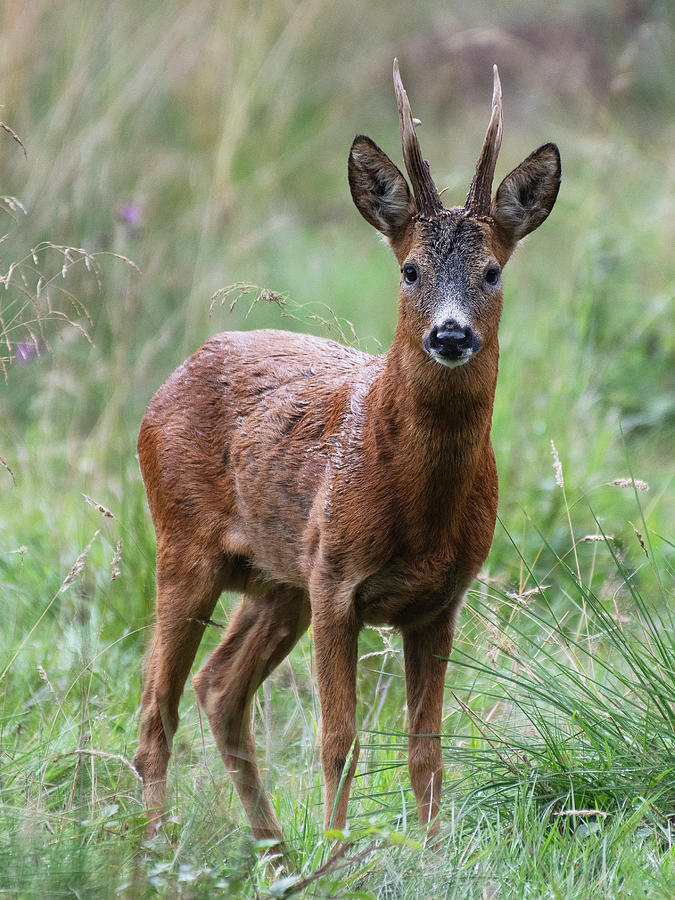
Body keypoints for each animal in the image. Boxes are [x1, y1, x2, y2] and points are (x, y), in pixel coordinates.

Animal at [132, 61, 560, 844]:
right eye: (410, 270)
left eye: (491, 272)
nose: (450, 335)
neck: (418, 508)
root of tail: (171, 379)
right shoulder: (336, 581)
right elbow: (340, 743)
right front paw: (337, 855)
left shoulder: (440, 599)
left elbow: (428, 752)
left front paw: (428, 855)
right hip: (185, 543)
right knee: (156, 710)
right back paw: (157, 850)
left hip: (277, 579)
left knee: (219, 688)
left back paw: (272, 850)